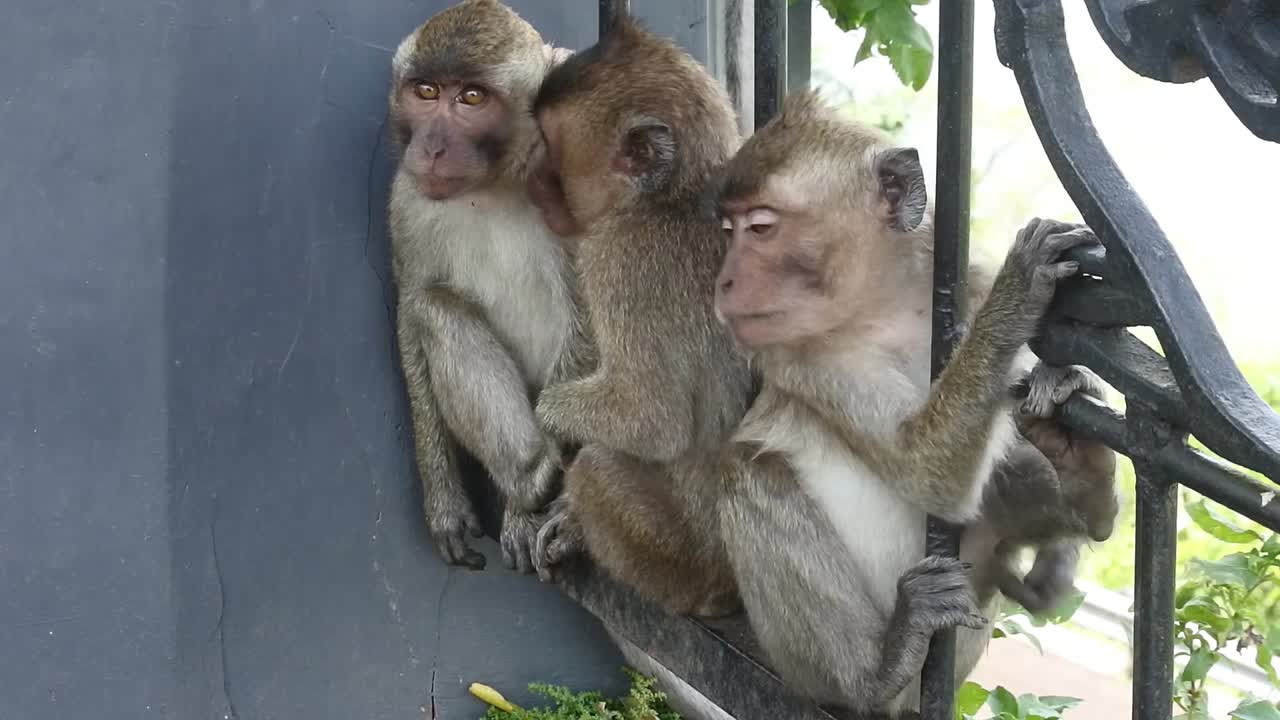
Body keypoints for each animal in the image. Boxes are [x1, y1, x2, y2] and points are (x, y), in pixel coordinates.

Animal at [387, 0, 593, 574]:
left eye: (472, 99)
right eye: (426, 91)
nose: (432, 147)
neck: (501, 179)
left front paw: (541, 515)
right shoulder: (406, 197)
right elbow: (412, 304)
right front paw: (444, 500)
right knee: (435, 307)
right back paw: (527, 476)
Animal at [524, 16, 755, 618]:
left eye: (549, 145)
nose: (530, 175)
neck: (673, 198)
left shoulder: (617, 258)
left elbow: (652, 420)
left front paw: (550, 417)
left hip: (682, 561)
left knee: (598, 469)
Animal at [708, 91, 1103, 716]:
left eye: (761, 227)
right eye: (728, 228)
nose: (723, 281)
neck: (887, 305)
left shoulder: (966, 279)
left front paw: (1065, 378)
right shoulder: (806, 358)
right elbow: (926, 470)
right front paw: (1019, 291)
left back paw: (1086, 484)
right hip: (805, 665)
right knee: (749, 472)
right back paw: (881, 667)